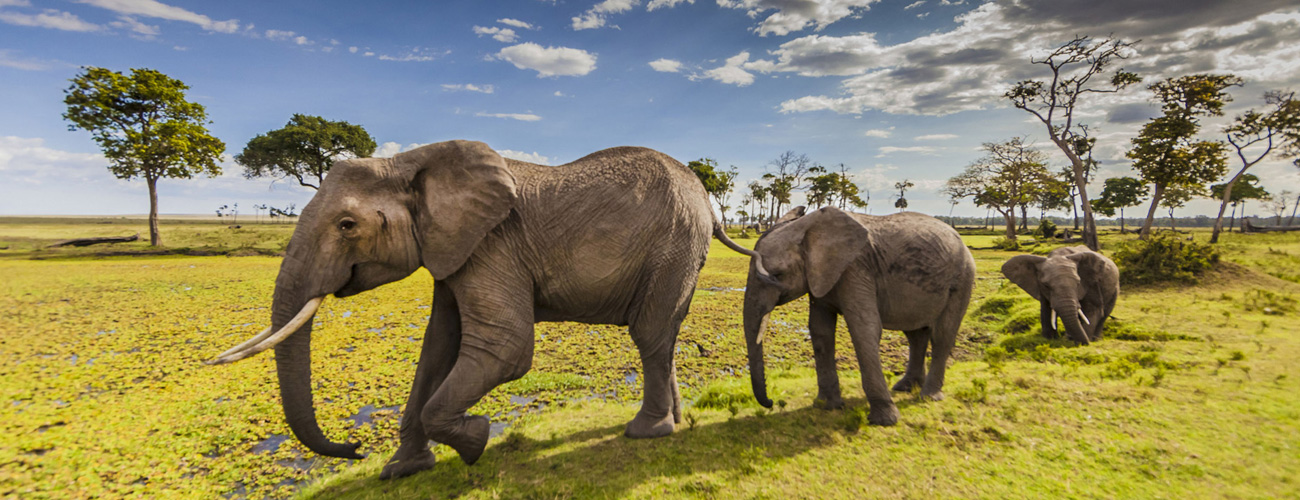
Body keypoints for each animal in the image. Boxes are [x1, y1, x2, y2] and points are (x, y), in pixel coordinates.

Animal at [204, 140, 764, 477]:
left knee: (649, 334)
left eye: (346, 226)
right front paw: (401, 471)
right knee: (662, 337)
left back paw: (646, 432)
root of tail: (708, 201)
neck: (409, 161)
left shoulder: (492, 244)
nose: (354, 449)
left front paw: (475, 443)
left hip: (674, 245)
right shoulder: (453, 249)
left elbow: (505, 347)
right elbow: (437, 346)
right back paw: (671, 424)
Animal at [743, 205, 977, 425]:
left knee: (942, 335)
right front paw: (826, 406)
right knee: (915, 335)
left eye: (778, 274)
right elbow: (820, 331)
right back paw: (905, 387)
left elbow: (864, 328)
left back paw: (928, 396)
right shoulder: (821, 276)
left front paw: (884, 421)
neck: (807, 228)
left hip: (963, 277)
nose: (771, 402)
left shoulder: (855, 268)